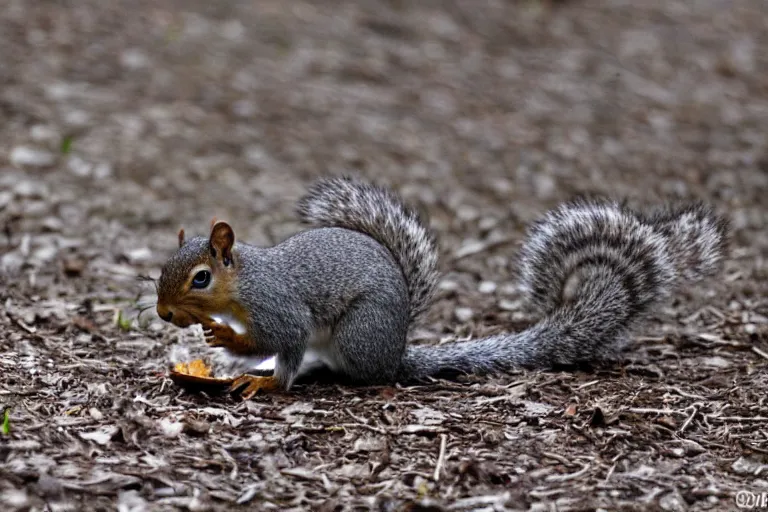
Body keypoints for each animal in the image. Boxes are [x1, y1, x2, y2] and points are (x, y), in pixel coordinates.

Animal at [153, 177, 728, 400]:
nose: (163, 314)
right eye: (161, 270)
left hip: (358, 332)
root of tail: (396, 350)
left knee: (352, 372)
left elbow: (279, 341)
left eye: (200, 277)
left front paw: (244, 356)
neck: (241, 285)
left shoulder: (278, 309)